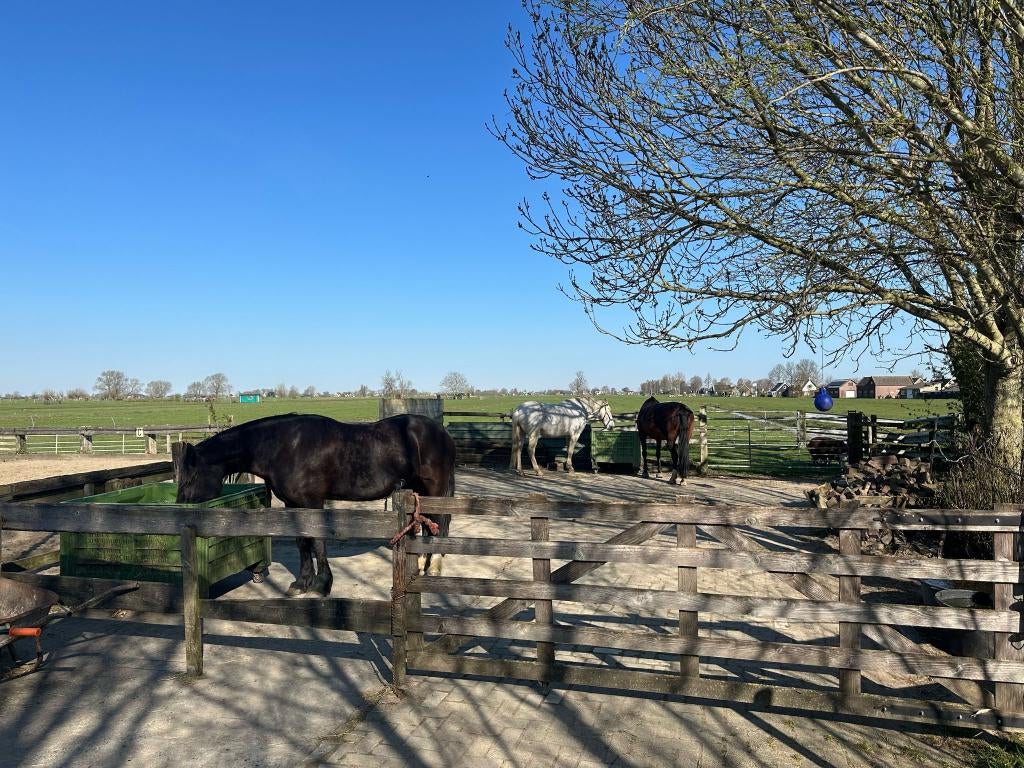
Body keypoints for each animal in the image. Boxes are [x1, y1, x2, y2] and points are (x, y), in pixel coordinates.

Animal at [175, 412, 455, 597]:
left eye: (189, 479)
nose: (177, 510)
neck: (285, 446)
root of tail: (441, 432)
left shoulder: (312, 502)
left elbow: (317, 541)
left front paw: (322, 585)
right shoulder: (292, 504)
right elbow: (302, 542)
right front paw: (302, 583)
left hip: (434, 489)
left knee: (438, 524)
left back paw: (433, 569)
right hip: (418, 490)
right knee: (426, 523)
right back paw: (421, 566)